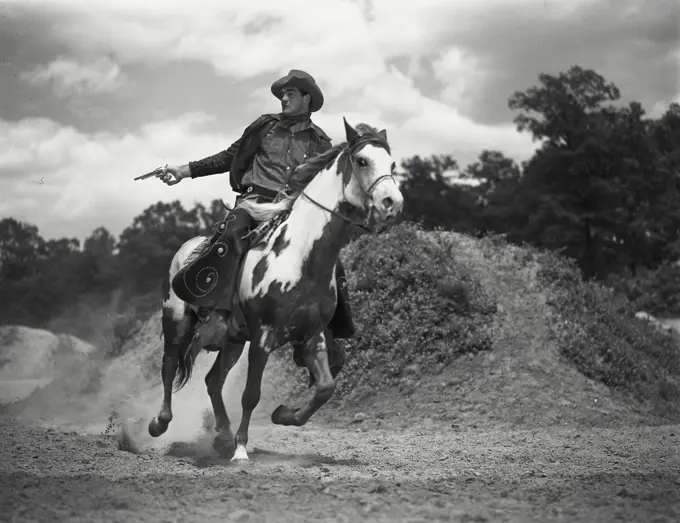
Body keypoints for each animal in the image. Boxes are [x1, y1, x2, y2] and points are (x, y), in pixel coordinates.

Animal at [147, 116, 404, 460]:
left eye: (392, 163)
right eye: (362, 161)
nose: (393, 204)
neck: (299, 255)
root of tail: (185, 251)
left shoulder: (312, 335)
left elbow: (326, 388)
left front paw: (283, 415)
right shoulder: (263, 335)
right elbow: (250, 394)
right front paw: (242, 450)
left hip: (232, 340)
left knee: (213, 380)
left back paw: (223, 436)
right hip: (176, 320)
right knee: (169, 365)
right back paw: (160, 424)